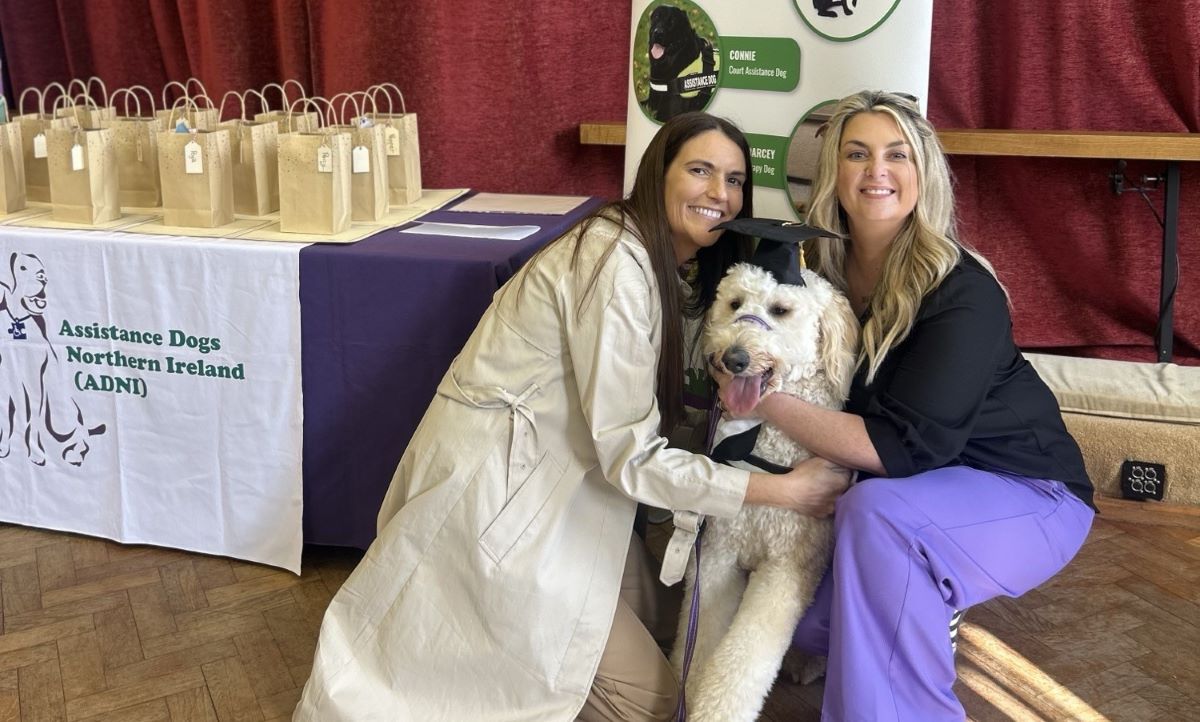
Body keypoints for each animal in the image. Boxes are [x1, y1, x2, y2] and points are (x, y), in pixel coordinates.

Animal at [672, 260, 859, 719]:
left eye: (780, 310)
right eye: (734, 303)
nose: (734, 357)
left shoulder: (786, 569)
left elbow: (741, 663)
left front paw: (714, 710)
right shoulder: (716, 555)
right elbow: (697, 643)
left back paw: (807, 663)